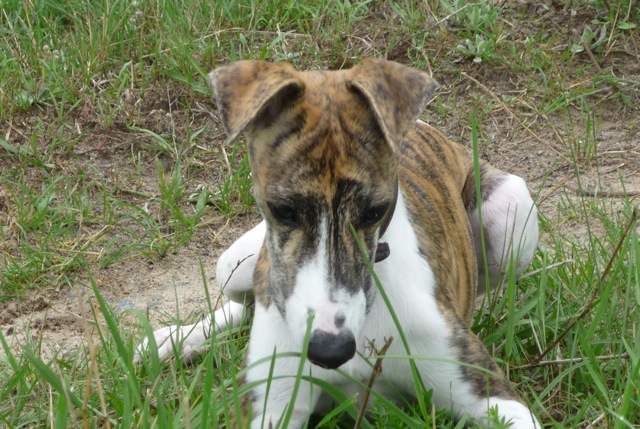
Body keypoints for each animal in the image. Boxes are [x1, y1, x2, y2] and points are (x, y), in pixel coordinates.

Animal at [138, 59, 544, 428]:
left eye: (375, 211)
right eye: (283, 210)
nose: (329, 351)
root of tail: (431, 130)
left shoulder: (491, 394)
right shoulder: (271, 407)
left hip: (512, 209)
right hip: (234, 263)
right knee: (245, 304)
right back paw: (171, 341)